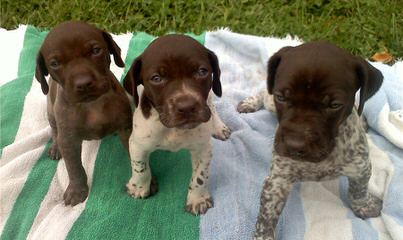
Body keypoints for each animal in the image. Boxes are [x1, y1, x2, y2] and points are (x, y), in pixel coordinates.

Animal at [35, 21, 132, 206]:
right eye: (55, 63)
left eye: (96, 50)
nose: (84, 83)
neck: (92, 104)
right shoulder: (69, 140)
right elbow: (74, 168)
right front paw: (76, 190)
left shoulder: (126, 127)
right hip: (51, 112)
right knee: (55, 131)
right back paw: (56, 147)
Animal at [122, 34, 230, 216]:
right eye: (156, 78)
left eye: (202, 71)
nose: (187, 107)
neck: (171, 129)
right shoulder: (137, 144)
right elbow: (140, 167)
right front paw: (139, 187)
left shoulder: (203, 148)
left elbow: (201, 176)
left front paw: (198, 199)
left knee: (212, 105)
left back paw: (219, 127)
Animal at [240, 41, 386, 240]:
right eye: (281, 97)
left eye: (334, 105)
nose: (294, 146)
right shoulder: (278, 181)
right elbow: (265, 219)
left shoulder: (361, 167)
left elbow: (358, 192)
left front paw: (364, 207)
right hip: (269, 104)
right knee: (264, 93)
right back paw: (250, 102)